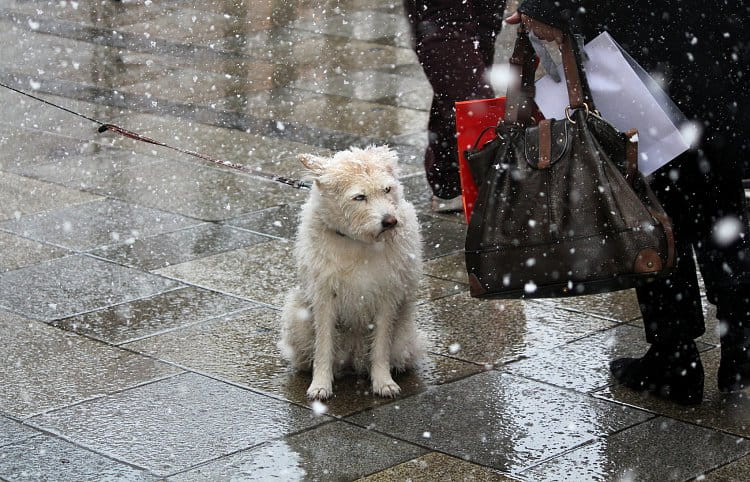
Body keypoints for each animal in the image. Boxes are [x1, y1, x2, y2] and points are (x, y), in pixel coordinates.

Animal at [280, 146, 426, 400]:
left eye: (387, 189)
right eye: (359, 197)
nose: (390, 221)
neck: (358, 242)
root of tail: (352, 363)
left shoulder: (387, 296)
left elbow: (380, 344)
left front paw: (383, 381)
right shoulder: (324, 297)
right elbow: (324, 344)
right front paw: (320, 384)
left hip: (403, 339)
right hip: (297, 315)